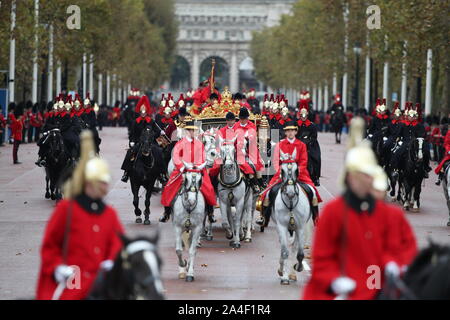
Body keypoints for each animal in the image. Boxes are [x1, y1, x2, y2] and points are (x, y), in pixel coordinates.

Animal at [272, 150, 314, 284]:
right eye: (282, 170)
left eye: (296, 170)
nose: (290, 193)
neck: (290, 203)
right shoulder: (281, 226)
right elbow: (284, 251)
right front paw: (283, 275)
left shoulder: (300, 227)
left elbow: (299, 253)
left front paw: (298, 267)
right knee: (284, 247)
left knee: (294, 248)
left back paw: (292, 274)